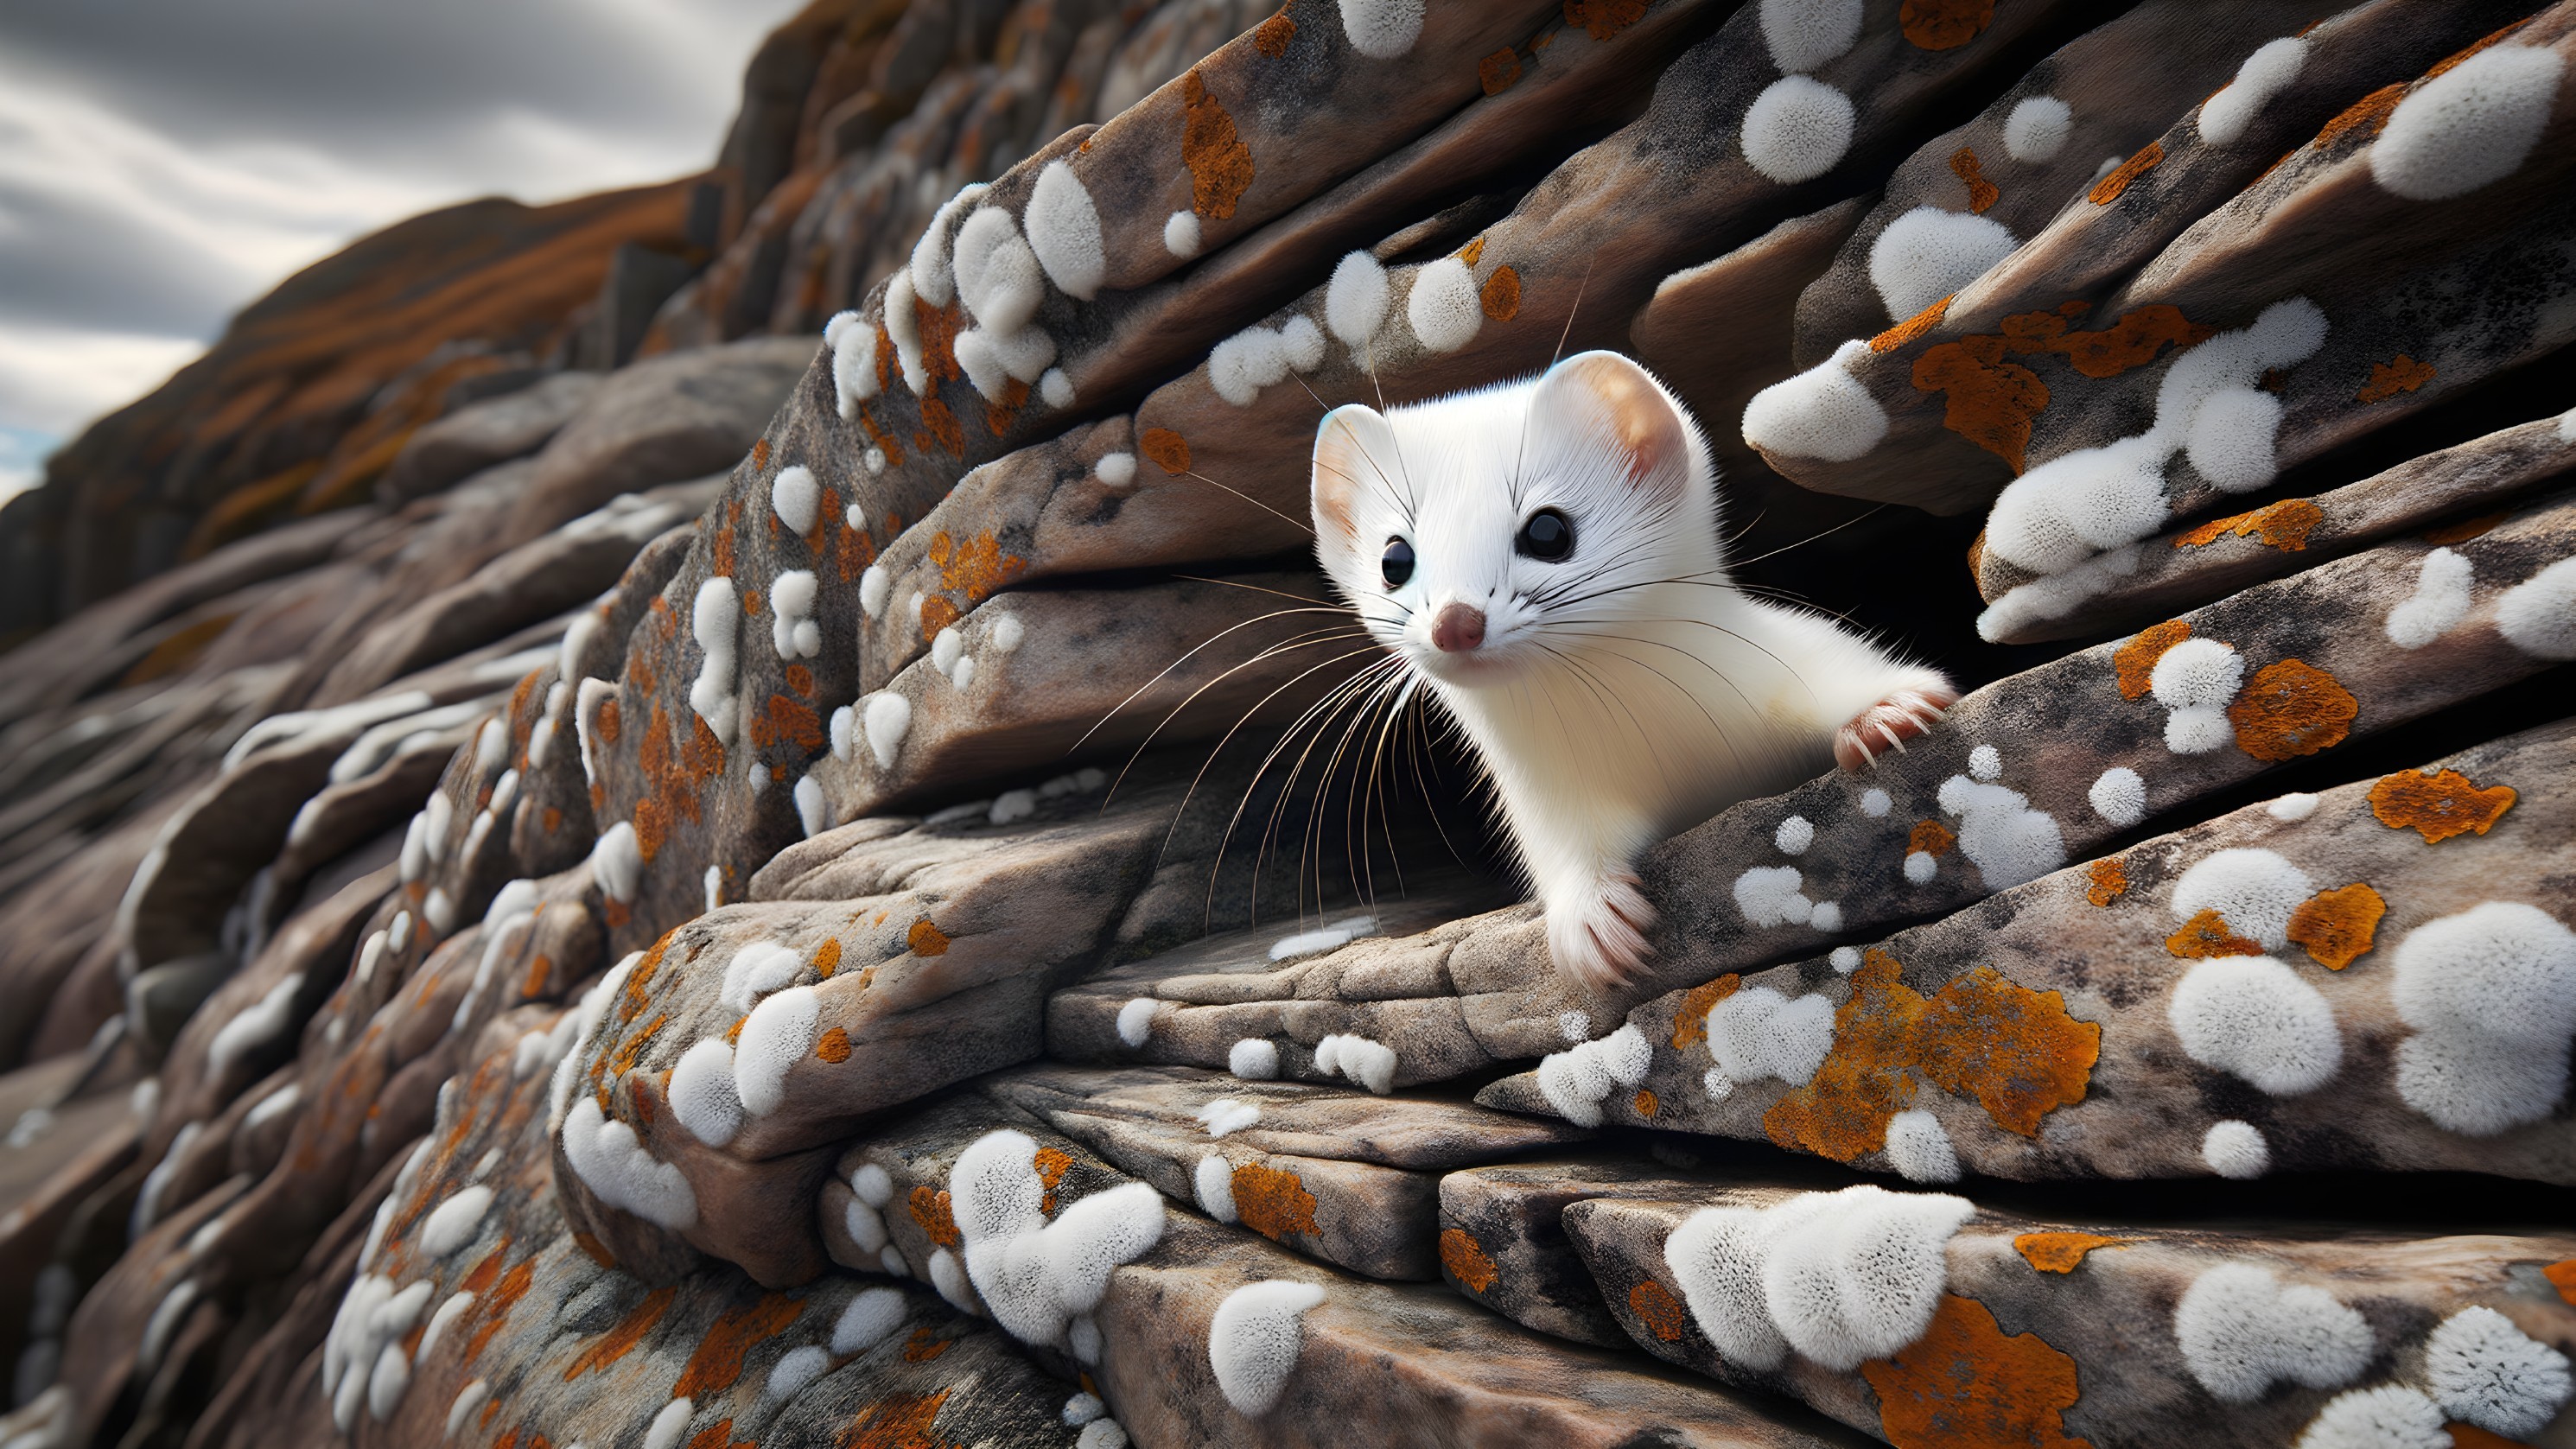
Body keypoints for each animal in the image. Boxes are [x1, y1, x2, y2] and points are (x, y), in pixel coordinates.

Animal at [1308, 353, 1947, 993]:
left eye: (1548, 529)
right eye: (1394, 557)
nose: (1455, 622)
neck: (1662, 741)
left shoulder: (1782, 660)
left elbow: (1840, 669)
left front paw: (1884, 714)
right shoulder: (1553, 792)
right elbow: (1564, 846)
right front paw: (1591, 920)